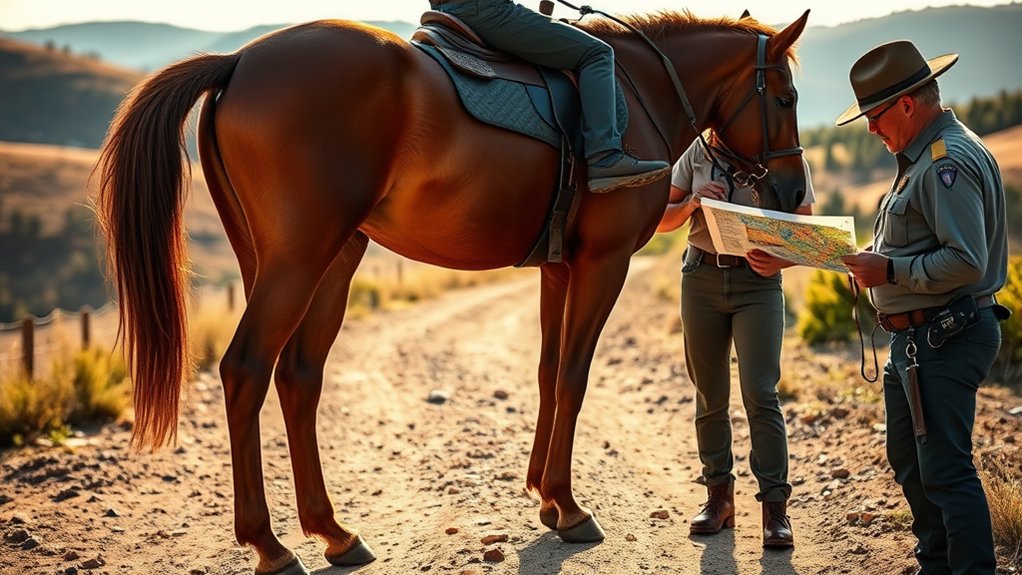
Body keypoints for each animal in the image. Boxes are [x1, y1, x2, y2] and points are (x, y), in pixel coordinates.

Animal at [95, 8, 809, 574]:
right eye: (784, 98)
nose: (794, 194)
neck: (636, 90)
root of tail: (240, 61)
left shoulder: (558, 269)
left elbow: (548, 372)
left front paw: (542, 495)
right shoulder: (601, 264)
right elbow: (574, 376)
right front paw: (569, 506)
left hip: (321, 260)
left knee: (299, 376)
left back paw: (334, 533)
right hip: (298, 260)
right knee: (246, 370)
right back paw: (270, 546)